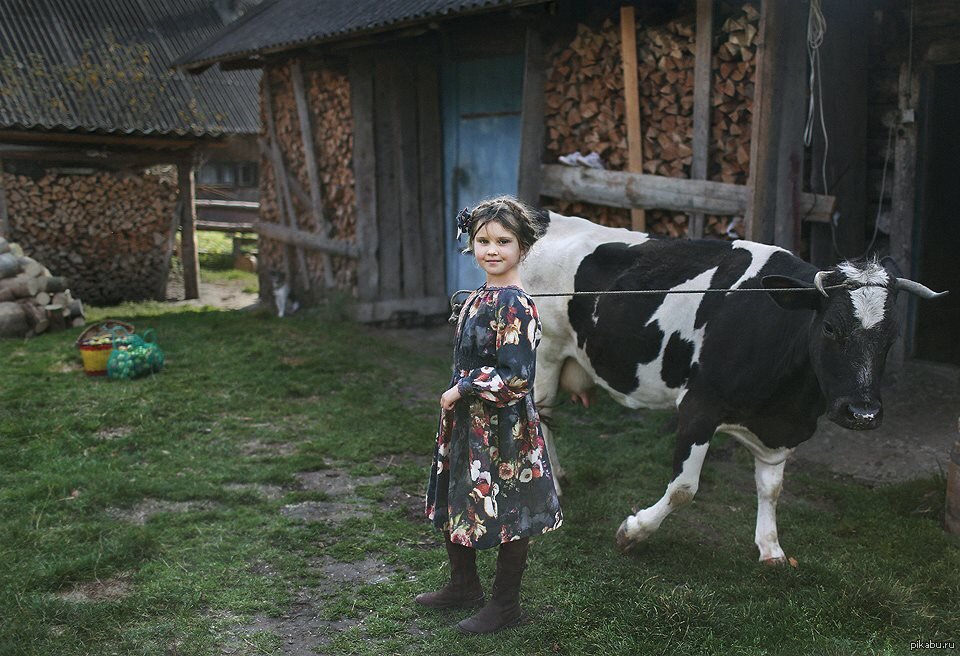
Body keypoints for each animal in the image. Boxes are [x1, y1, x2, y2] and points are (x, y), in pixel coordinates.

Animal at [520, 213, 940, 560]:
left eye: (892, 337)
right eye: (830, 327)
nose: (863, 413)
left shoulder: (782, 427)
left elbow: (772, 488)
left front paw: (771, 548)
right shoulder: (698, 405)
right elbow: (683, 488)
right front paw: (633, 532)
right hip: (545, 356)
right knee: (540, 416)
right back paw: (554, 487)